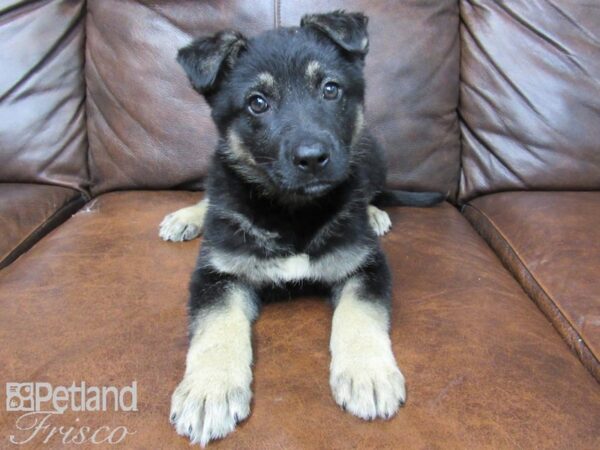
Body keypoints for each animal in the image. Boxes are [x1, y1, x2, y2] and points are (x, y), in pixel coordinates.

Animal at [162, 10, 442, 446]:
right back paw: (188, 216)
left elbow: (359, 315)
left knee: (371, 188)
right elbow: (216, 327)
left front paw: (367, 372)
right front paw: (210, 390)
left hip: (372, 150)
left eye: (330, 89)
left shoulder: (366, 265)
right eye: (257, 103)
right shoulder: (216, 273)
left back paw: (374, 212)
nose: (312, 158)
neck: (292, 211)